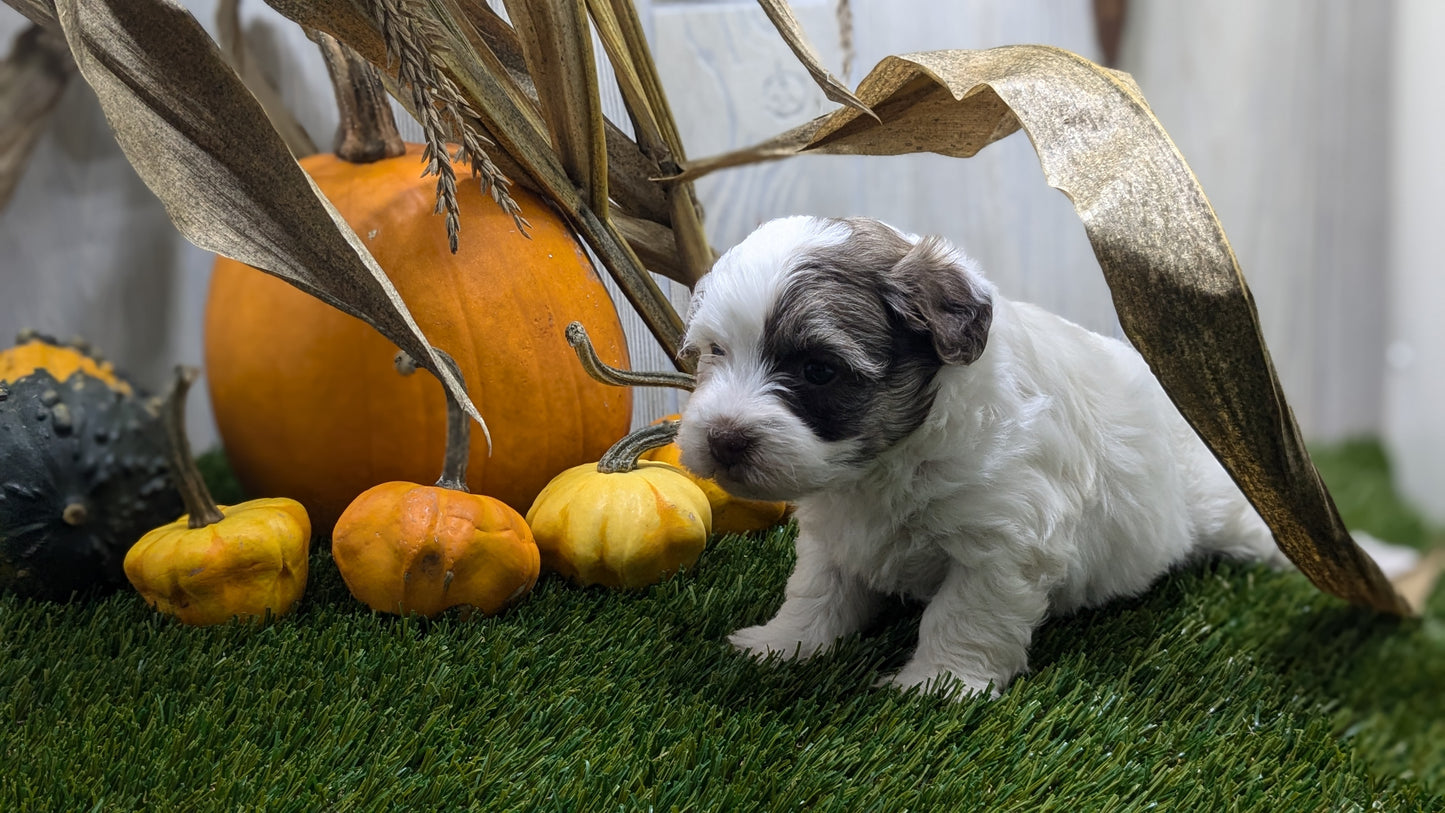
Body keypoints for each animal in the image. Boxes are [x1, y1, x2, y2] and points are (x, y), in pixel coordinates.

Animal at [676, 215, 1300, 698]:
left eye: (819, 370)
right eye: (715, 351)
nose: (723, 438)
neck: (890, 462)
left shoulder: (1003, 540)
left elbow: (962, 614)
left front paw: (937, 685)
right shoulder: (835, 534)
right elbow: (817, 590)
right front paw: (783, 644)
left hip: (1216, 505)